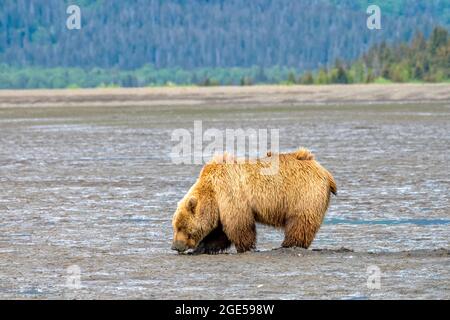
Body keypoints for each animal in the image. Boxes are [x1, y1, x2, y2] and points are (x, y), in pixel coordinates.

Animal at [171, 148, 336, 255]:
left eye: (181, 227)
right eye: (175, 226)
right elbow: (219, 233)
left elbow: (239, 226)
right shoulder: (220, 207)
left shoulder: (230, 195)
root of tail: (324, 171)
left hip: (303, 194)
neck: (212, 192)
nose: (175, 246)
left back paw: (287, 245)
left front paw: (245, 248)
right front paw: (201, 248)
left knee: (300, 222)